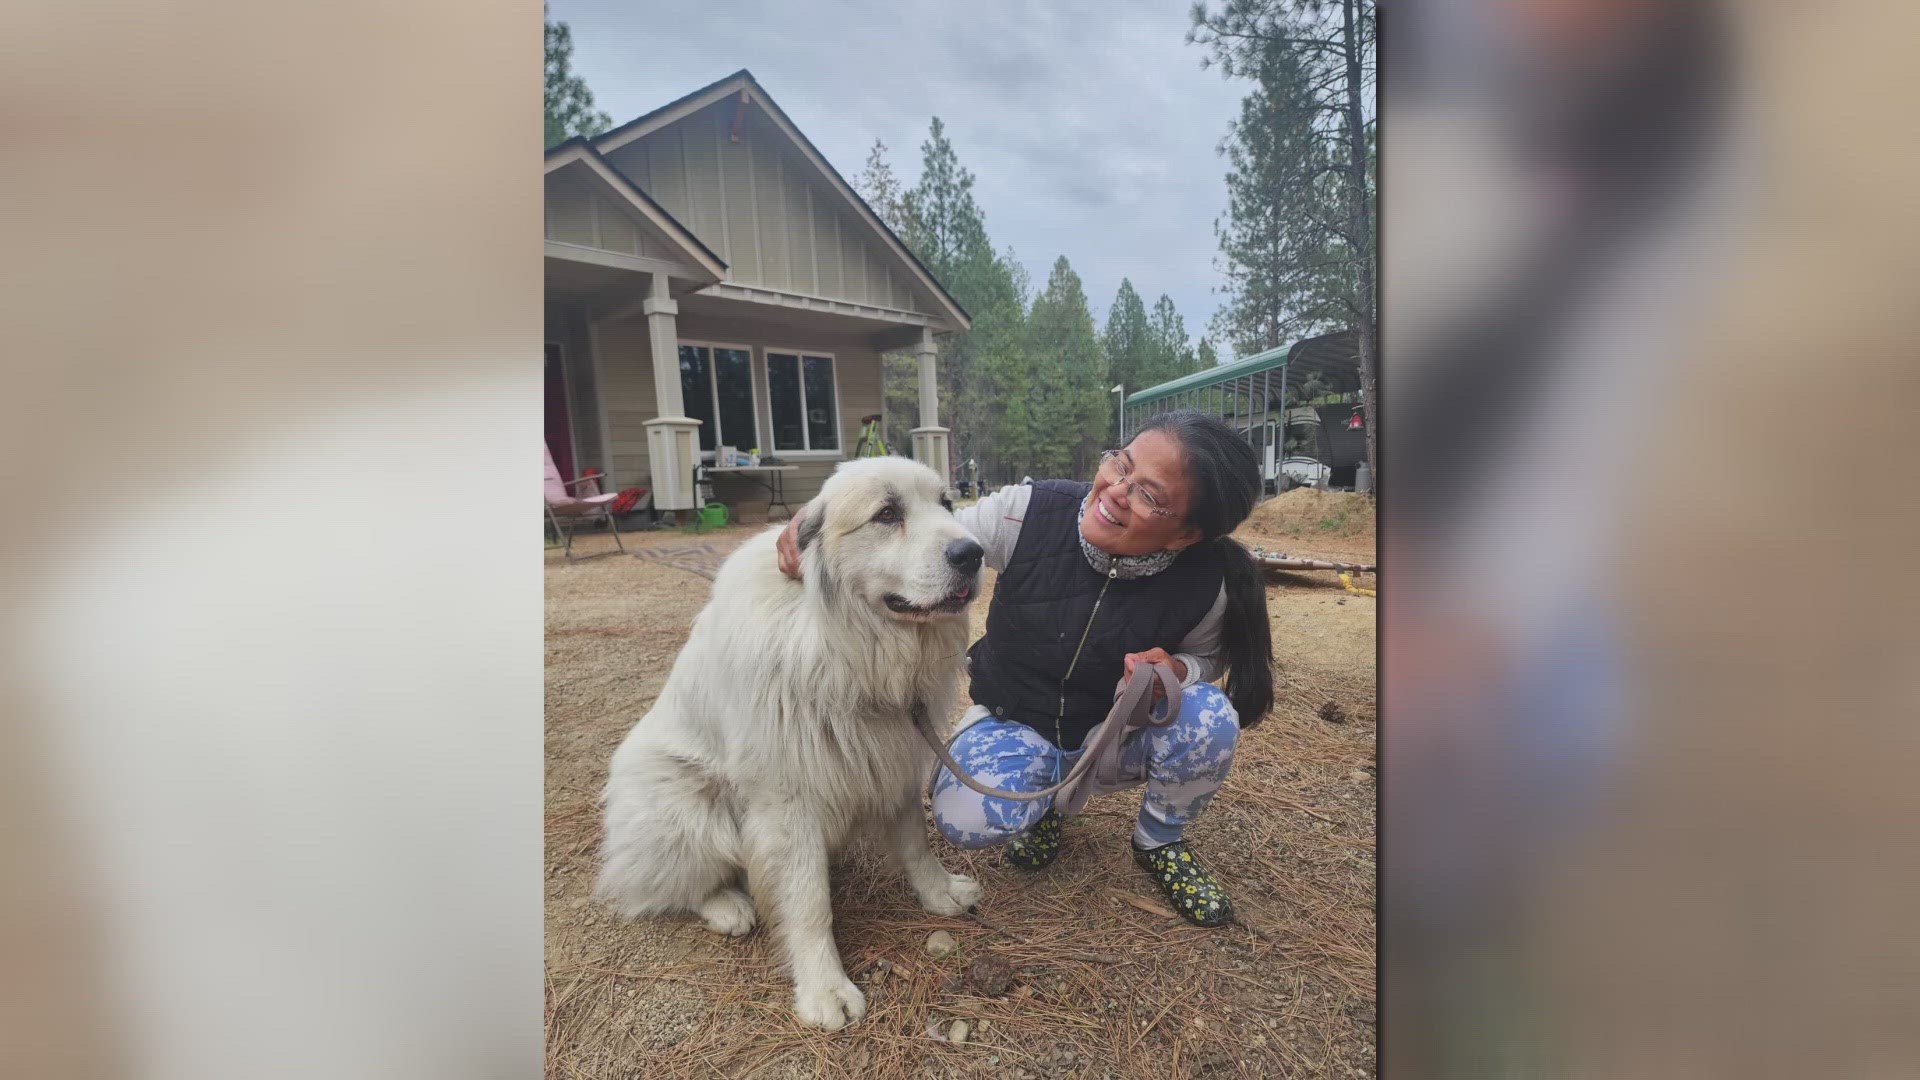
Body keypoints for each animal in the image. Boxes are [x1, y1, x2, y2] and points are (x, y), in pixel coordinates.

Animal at [595, 451, 990, 1022]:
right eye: (887, 514)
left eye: (946, 504)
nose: (973, 553)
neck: (846, 646)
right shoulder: (788, 800)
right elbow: (808, 902)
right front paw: (824, 988)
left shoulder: (893, 760)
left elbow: (916, 843)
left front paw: (939, 894)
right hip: (685, 806)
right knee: (672, 881)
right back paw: (727, 906)